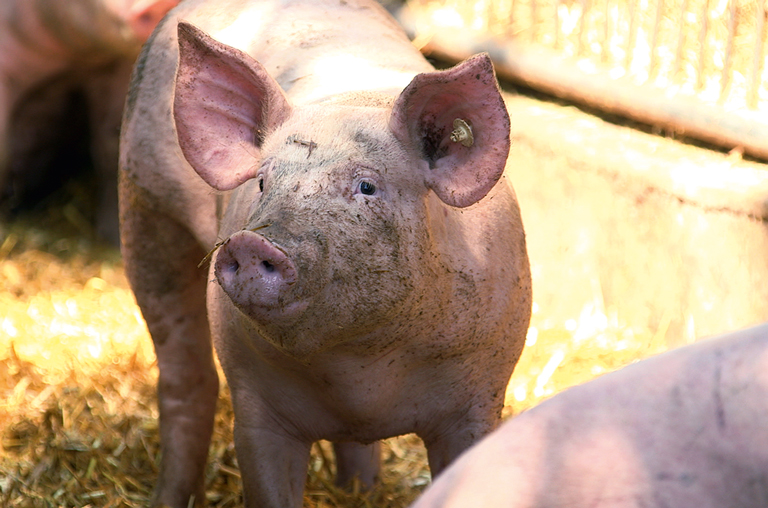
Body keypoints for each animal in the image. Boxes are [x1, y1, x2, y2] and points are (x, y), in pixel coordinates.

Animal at [118, 0, 531, 506]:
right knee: (186, 382)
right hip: (144, 206)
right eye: (263, 182)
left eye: (367, 186)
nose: (252, 243)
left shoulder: (481, 396)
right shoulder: (255, 406)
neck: (361, 367)